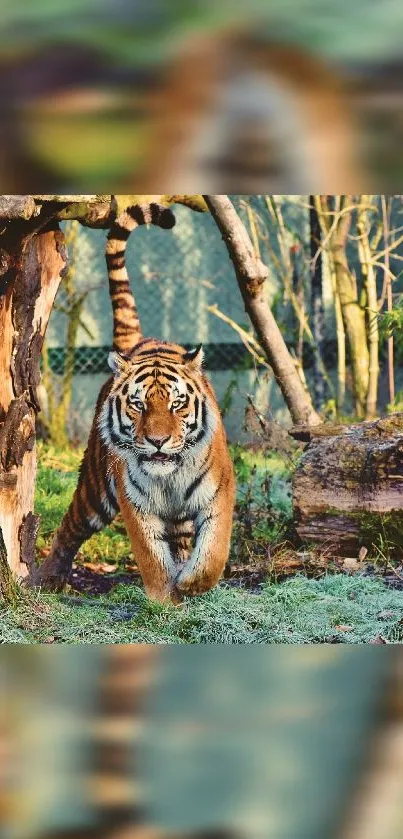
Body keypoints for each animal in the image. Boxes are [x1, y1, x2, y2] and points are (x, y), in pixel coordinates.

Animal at [31, 199, 237, 604]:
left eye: (176, 404)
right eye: (138, 405)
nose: (157, 441)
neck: (170, 477)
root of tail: (139, 342)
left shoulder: (220, 492)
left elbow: (214, 552)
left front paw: (191, 584)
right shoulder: (135, 504)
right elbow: (151, 558)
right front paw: (163, 599)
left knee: (184, 541)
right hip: (95, 490)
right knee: (69, 528)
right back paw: (46, 579)